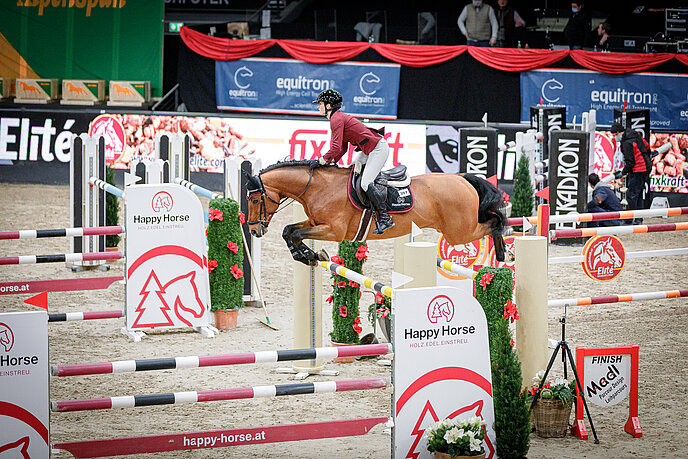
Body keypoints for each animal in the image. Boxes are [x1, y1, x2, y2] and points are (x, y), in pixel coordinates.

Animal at [245, 160, 508, 266]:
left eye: (255, 199)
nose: (254, 230)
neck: (319, 186)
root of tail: (462, 179)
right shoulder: (314, 221)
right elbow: (289, 231)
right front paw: (309, 256)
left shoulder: (333, 231)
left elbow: (297, 234)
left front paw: (311, 254)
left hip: (459, 232)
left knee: (494, 221)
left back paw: (503, 251)